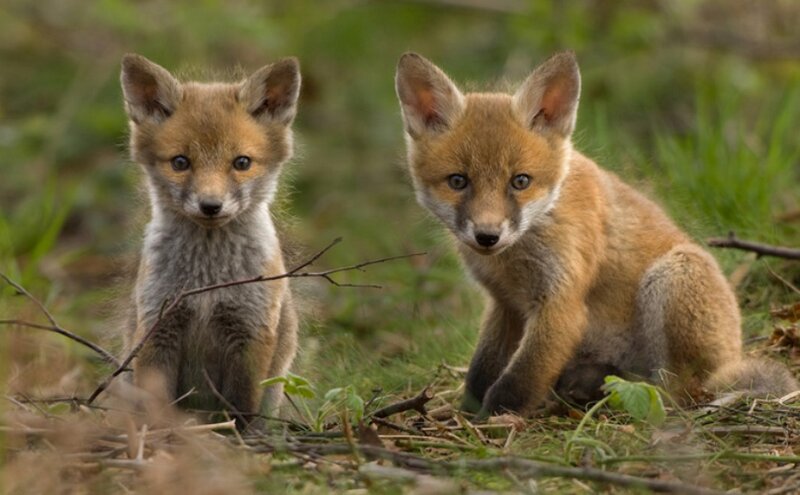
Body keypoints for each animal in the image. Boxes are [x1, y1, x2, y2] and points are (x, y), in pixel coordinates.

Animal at [119, 54, 300, 425]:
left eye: (242, 162)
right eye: (180, 162)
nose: (210, 206)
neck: (207, 282)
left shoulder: (251, 330)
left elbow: (242, 408)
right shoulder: (158, 327)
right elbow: (156, 404)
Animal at [395, 51, 798, 416]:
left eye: (520, 181)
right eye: (458, 182)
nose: (487, 236)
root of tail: (733, 356)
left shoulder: (561, 303)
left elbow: (519, 378)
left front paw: (494, 421)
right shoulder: (505, 303)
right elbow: (480, 372)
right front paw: (465, 413)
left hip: (674, 276)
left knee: (678, 394)